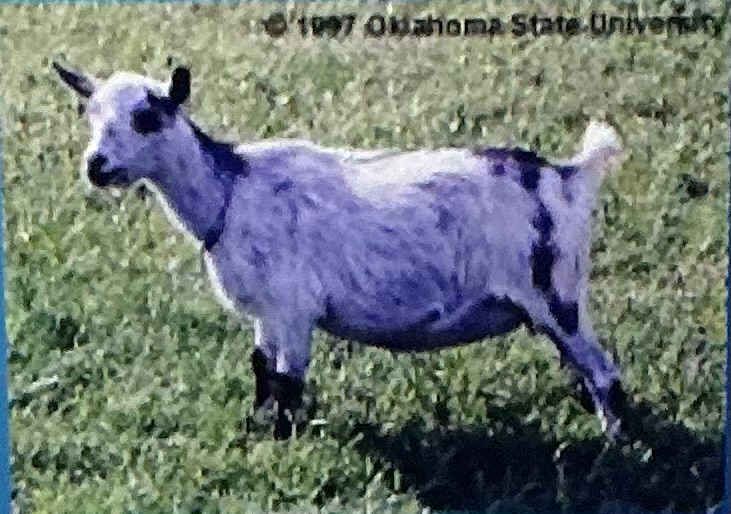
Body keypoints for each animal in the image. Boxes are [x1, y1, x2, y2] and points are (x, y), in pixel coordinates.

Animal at [53, 61, 628, 439]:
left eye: (146, 118)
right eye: (89, 114)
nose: (96, 166)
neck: (230, 192)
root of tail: (568, 177)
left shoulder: (293, 307)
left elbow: (288, 382)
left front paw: (282, 443)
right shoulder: (266, 312)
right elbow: (262, 370)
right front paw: (254, 431)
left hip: (556, 293)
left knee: (605, 373)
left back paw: (616, 445)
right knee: (585, 371)